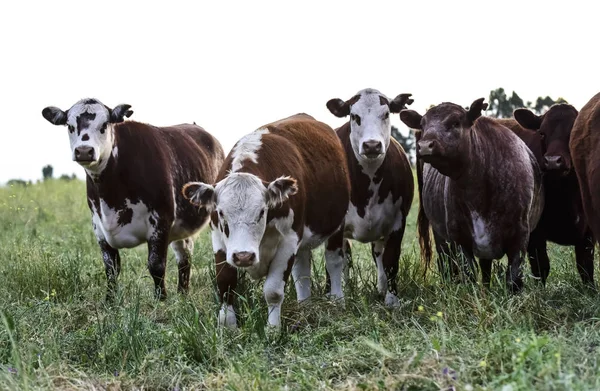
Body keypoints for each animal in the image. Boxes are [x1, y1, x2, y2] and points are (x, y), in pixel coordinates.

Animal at [41, 98, 225, 300]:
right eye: (70, 126)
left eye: (104, 125)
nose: (83, 151)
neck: (111, 194)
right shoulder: (99, 225)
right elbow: (111, 268)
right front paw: (110, 299)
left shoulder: (161, 220)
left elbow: (156, 265)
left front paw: (161, 299)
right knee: (184, 255)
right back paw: (183, 293)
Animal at [183, 115, 352, 330]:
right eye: (221, 213)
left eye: (262, 211)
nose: (243, 256)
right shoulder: (219, 240)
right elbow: (225, 283)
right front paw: (228, 326)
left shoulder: (289, 240)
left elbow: (273, 291)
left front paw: (272, 329)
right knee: (302, 270)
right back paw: (304, 305)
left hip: (337, 226)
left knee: (334, 262)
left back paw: (337, 300)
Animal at [326, 88, 414, 306]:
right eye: (354, 116)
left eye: (386, 114)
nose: (372, 145)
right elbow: (334, 261)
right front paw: (336, 300)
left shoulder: (397, 222)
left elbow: (390, 260)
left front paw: (392, 299)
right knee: (345, 257)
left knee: (379, 254)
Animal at [400, 99, 548, 292]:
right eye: (422, 124)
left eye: (455, 123)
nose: (425, 146)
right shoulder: (459, 237)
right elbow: (468, 275)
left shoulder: (520, 236)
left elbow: (513, 279)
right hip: (440, 236)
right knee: (447, 265)